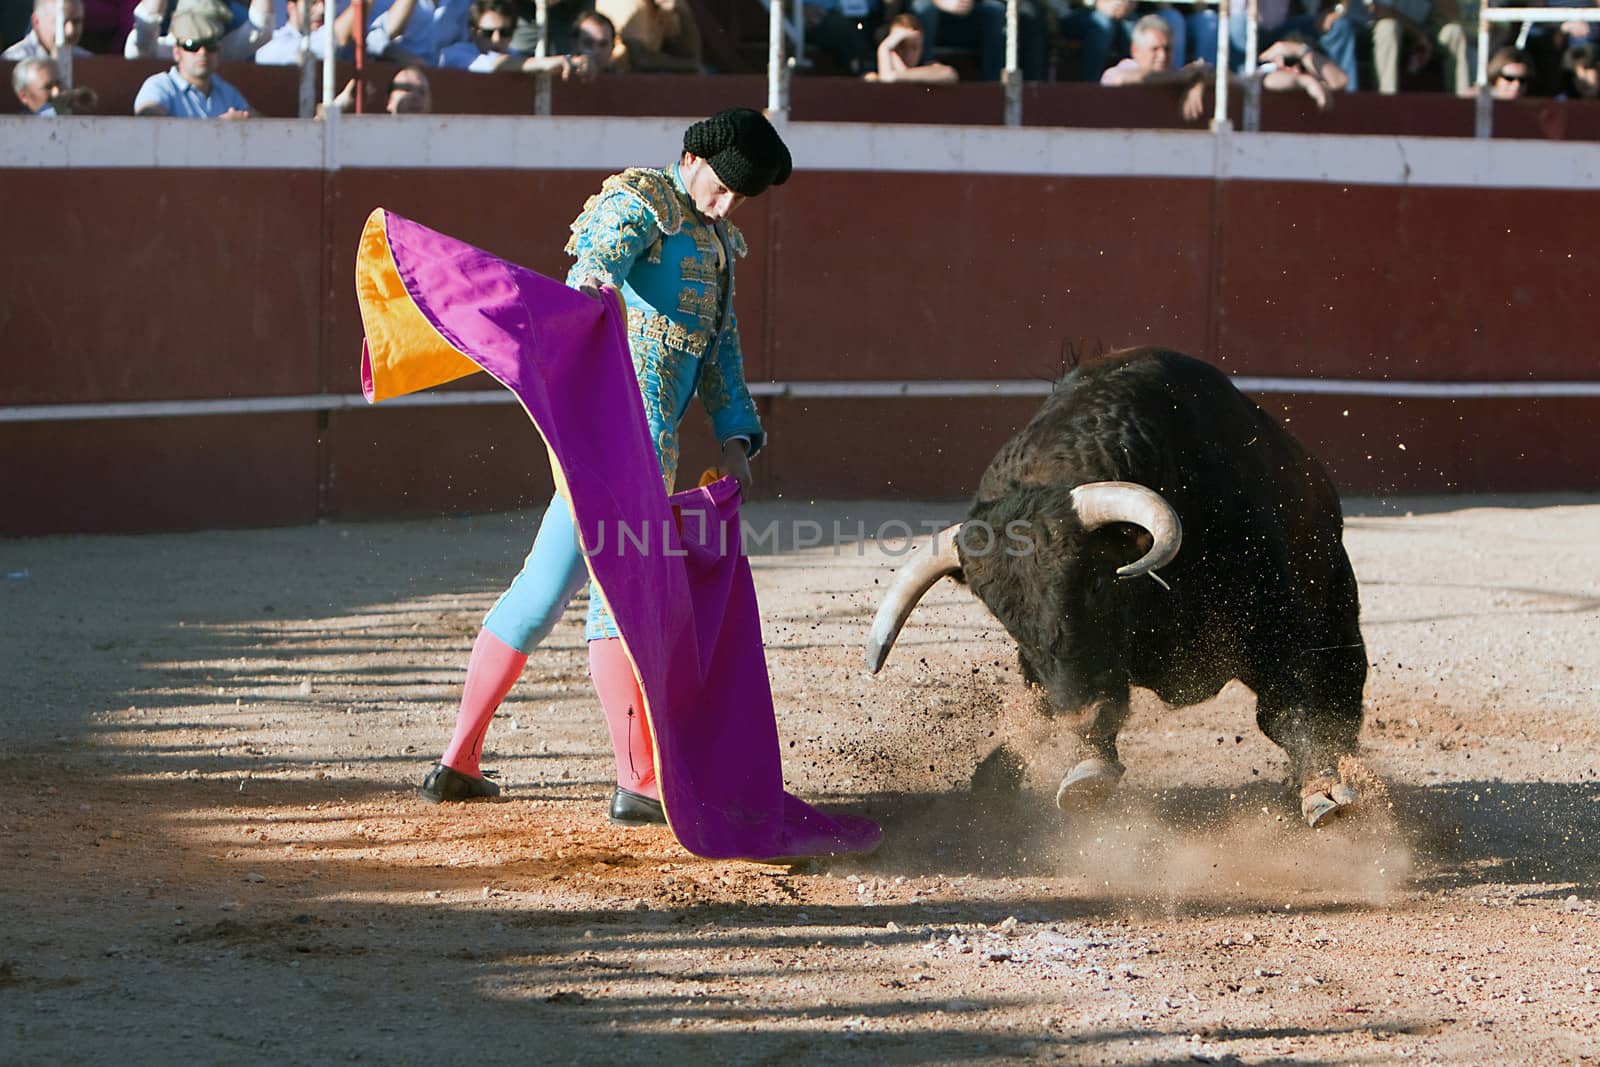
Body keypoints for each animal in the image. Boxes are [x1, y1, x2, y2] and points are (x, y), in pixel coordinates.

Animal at [870, 350, 1369, 825]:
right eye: (1005, 619)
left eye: (1096, 585)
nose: (1084, 715)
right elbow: (1039, 712)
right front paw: (1083, 770)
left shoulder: (1276, 626)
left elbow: (1291, 709)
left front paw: (1323, 789)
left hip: (1338, 616)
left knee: (1341, 699)